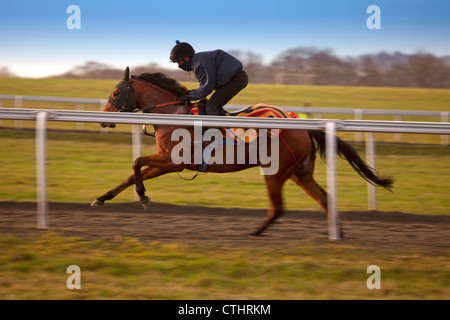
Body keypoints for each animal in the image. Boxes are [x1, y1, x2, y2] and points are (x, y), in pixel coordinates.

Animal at [92, 66, 394, 236]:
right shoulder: (168, 163)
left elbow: (136, 161)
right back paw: (338, 233)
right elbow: (132, 173)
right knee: (324, 198)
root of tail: (302, 126)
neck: (172, 114)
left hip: (276, 171)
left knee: (278, 207)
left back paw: (255, 233)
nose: (103, 119)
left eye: (116, 93)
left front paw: (143, 196)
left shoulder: (173, 161)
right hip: (300, 172)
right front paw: (103, 198)